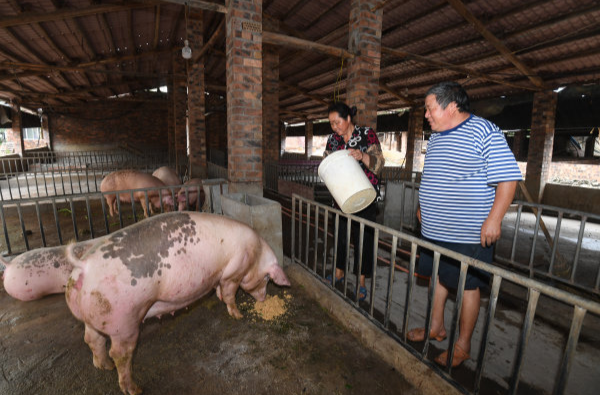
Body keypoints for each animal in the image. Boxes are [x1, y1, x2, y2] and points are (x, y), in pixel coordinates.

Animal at [64, 213, 290, 395]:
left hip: (95, 317)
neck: (256, 252)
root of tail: (84, 265)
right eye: (267, 279)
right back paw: (134, 389)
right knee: (120, 354)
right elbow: (229, 292)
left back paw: (104, 366)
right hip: (123, 320)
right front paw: (238, 315)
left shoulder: (221, 275)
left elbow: (219, 289)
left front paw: (219, 298)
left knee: (92, 339)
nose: (263, 299)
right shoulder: (233, 272)